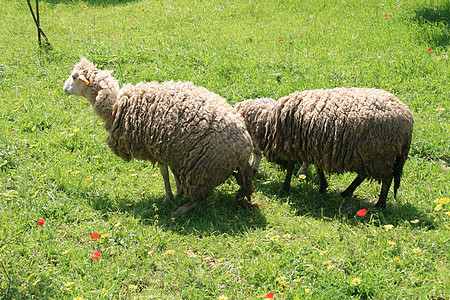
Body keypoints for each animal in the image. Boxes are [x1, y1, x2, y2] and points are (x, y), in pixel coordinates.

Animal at [62, 57, 256, 216]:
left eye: (73, 76)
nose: (63, 89)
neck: (115, 105)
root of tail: (245, 148)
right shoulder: (172, 151)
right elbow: (173, 172)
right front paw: (178, 192)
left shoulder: (155, 148)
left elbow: (164, 174)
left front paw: (168, 198)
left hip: (204, 168)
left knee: (201, 197)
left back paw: (180, 211)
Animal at [237, 88, 414, 207]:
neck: (269, 121)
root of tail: (408, 119)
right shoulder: (314, 146)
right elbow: (318, 167)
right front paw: (323, 186)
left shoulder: (293, 145)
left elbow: (291, 167)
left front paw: (284, 187)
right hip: (368, 154)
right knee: (364, 175)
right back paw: (347, 192)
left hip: (379, 153)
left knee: (386, 179)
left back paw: (379, 204)